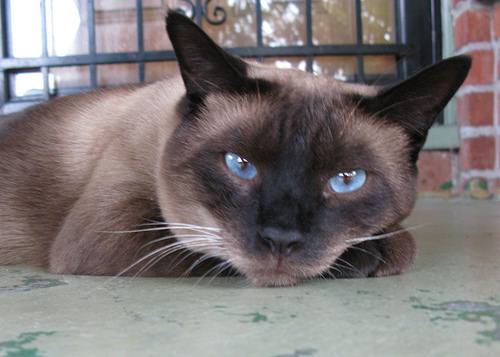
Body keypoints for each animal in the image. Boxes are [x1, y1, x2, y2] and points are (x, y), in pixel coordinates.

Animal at [0, 11, 468, 286]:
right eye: (240, 165)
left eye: (347, 180)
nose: (281, 239)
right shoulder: (111, 227)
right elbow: (197, 247)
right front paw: (375, 252)